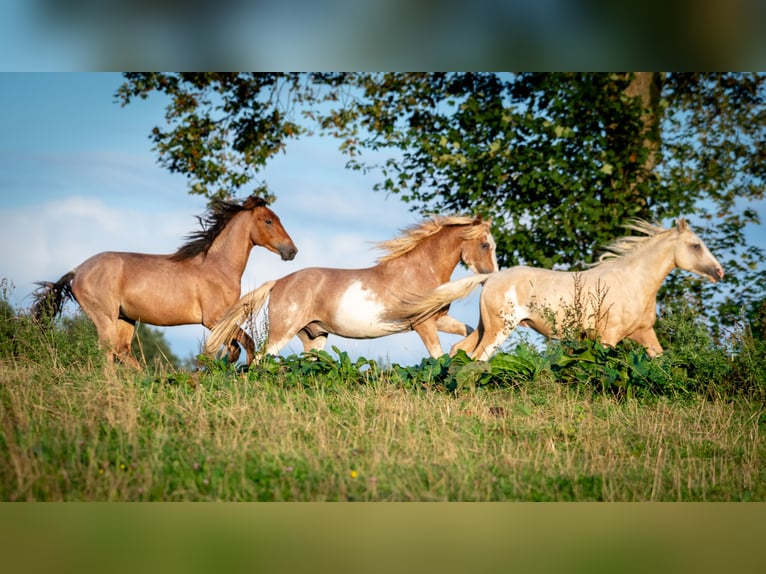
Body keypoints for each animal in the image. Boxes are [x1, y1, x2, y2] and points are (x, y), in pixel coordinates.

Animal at [36, 194, 300, 364]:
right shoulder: (214, 319)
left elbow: (232, 349)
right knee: (107, 352)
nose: (292, 251)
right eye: (268, 220)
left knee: (122, 351)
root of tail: (77, 271)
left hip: (125, 319)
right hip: (105, 318)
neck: (217, 267)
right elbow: (245, 344)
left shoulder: (221, 321)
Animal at [207, 217, 500, 364]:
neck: (420, 270)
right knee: (260, 360)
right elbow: (436, 356)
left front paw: (465, 351)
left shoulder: (438, 320)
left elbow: (468, 331)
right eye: (485, 245)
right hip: (283, 332)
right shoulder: (423, 324)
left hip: (314, 336)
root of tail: (279, 282)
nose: (493, 276)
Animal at [390, 218, 728, 362]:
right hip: (501, 328)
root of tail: (490, 279)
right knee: (479, 358)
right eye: (696, 245)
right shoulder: (607, 338)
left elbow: (660, 362)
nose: (719, 272)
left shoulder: (644, 334)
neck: (633, 282)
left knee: (461, 350)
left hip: (486, 326)